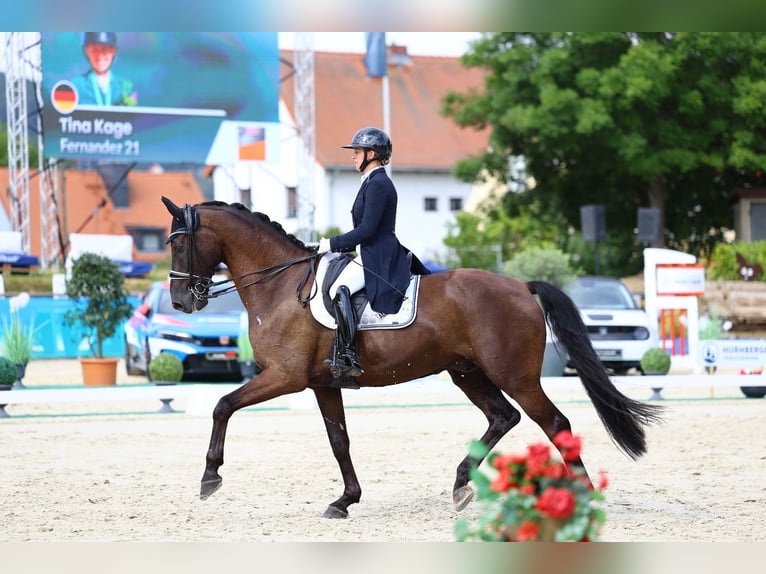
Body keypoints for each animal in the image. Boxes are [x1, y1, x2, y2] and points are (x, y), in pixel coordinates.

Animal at [161, 196, 664, 519]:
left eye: (179, 243)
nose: (182, 301)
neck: (280, 285)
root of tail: (522, 286)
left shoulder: (284, 376)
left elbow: (222, 405)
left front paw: (209, 477)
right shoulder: (322, 383)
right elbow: (339, 441)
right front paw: (345, 500)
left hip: (515, 375)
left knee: (554, 423)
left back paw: (581, 496)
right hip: (467, 372)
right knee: (504, 417)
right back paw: (461, 485)